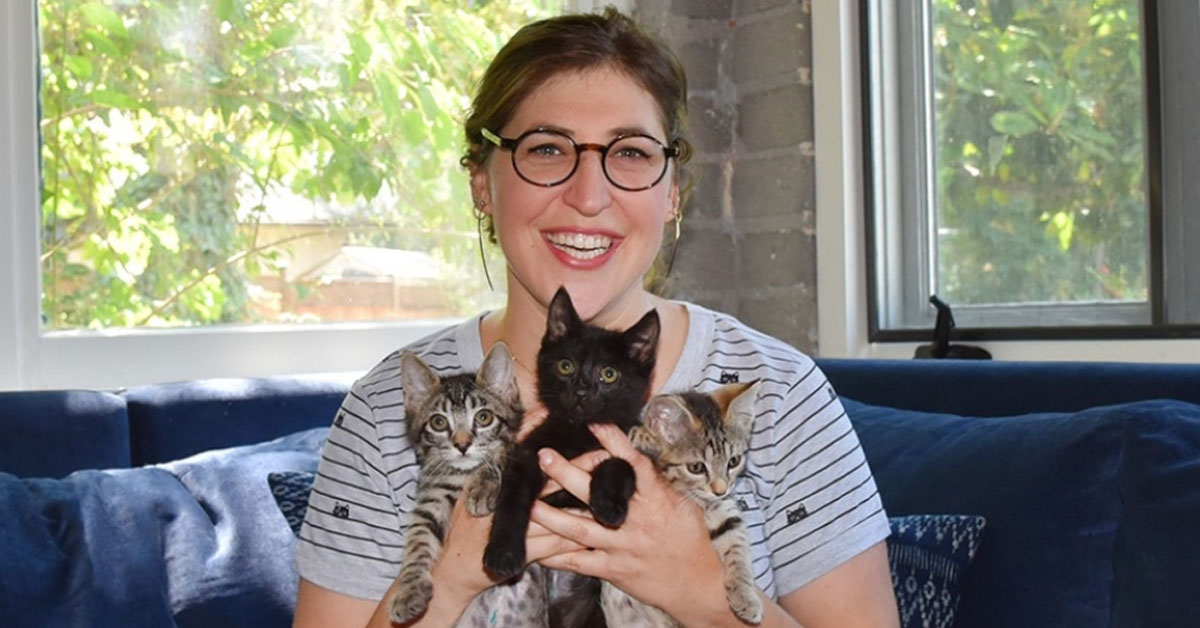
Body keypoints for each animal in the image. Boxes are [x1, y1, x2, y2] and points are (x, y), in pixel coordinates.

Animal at [391, 343, 537, 624]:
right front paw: (409, 588)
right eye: (438, 422)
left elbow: (498, 455)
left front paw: (483, 486)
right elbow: (418, 538)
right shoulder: (433, 496)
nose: (462, 445)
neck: (461, 474)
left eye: (483, 417)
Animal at [482, 286, 662, 583]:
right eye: (565, 366)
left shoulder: (632, 447)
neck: (580, 431)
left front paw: (608, 503)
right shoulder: (528, 453)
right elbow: (512, 498)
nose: (581, 390)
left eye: (609, 374)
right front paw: (503, 552)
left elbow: (621, 463)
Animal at [604, 381, 763, 624]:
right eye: (696, 467)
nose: (720, 489)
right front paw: (644, 437)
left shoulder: (723, 509)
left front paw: (745, 594)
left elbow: (737, 544)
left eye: (733, 461)